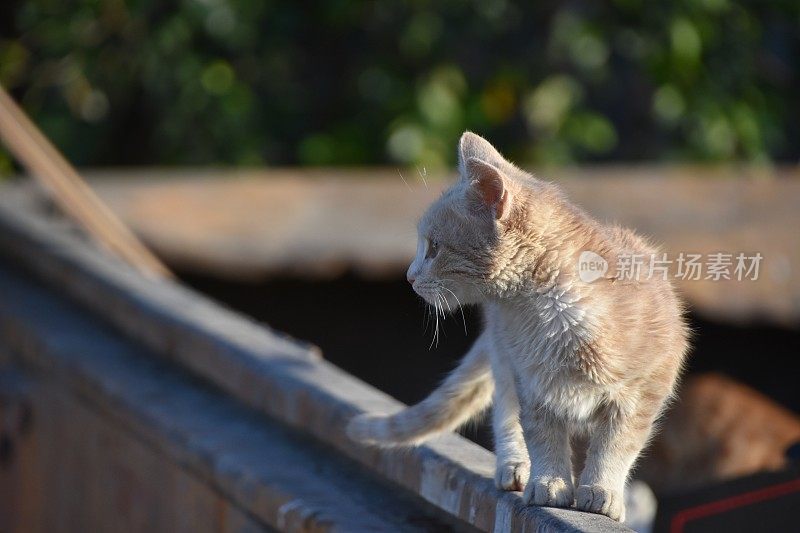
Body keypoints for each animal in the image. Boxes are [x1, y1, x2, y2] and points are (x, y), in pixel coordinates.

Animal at [346, 132, 692, 520]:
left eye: (434, 248)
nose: (409, 277)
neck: (557, 316)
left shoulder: (643, 391)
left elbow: (616, 444)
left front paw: (602, 490)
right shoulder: (533, 385)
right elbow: (543, 437)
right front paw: (551, 483)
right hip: (504, 361)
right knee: (506, 415)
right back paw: (514, 467)